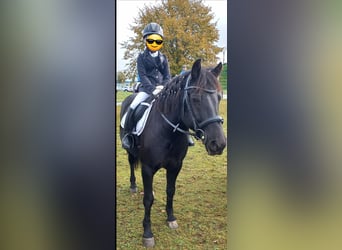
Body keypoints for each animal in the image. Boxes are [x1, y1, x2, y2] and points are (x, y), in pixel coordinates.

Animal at [119, 59, 226, 248]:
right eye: (195, 98)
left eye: (219, 97)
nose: (218, 144)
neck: (168, 131)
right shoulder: (147, 168)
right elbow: (148, 199)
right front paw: (147, 233)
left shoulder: (175, 166)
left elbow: (171, 191)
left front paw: (170, 218)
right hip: (129, 149)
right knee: (132, 163)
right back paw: (133, 186)